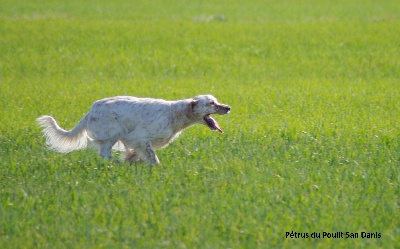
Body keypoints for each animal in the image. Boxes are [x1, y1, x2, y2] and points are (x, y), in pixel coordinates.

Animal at [38, 95, 231, 165]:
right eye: (211, 103)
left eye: (216, 100)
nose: (228, 107)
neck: (175, 113)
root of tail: (90, 110)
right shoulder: (140, 137)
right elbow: (152, 157)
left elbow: (136, 154)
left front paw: (132, 160)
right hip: (113, 132)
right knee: (105, 153)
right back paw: (117, 164)